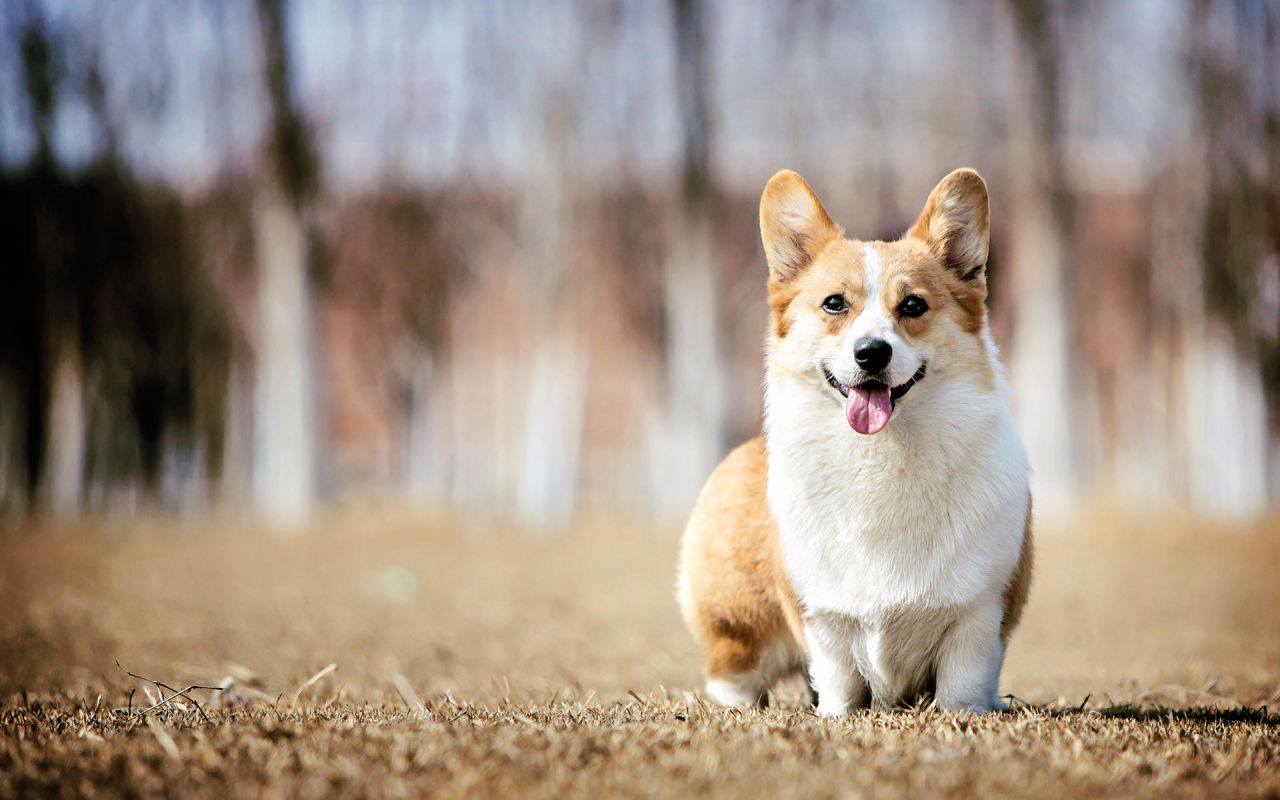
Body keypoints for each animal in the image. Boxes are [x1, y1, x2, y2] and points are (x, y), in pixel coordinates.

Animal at [680, 166, 1029, 711]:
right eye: (834, 304)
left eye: (913, 305)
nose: (871, 353)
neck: (880, 455)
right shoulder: (823, 616)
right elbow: (838, 676)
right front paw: (836, 717)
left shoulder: (979, 611)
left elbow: (963, 681)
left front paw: (967, 713)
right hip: (737, 626)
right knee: (735, 672)